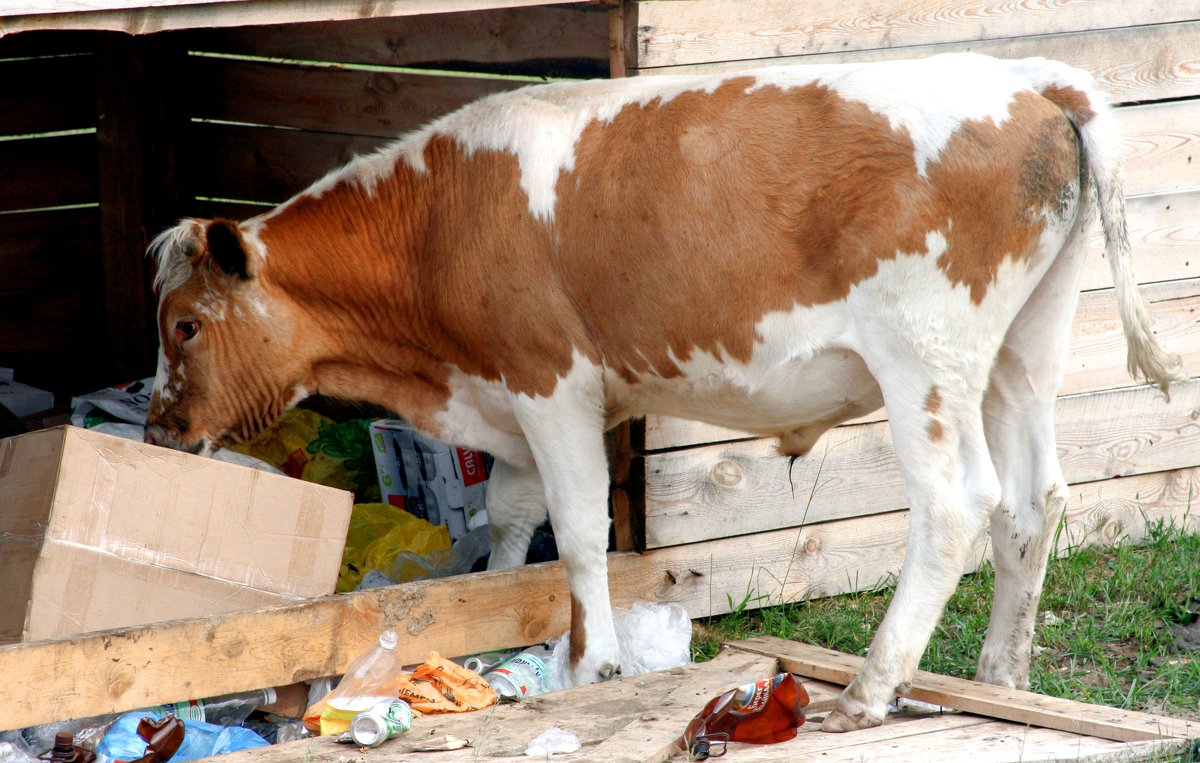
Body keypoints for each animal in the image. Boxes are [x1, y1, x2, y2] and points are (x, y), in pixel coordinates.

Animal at [142, 53, 1180, 734]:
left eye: (184, 325)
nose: (158, 429)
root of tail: (1031, 80)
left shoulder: (551, 380)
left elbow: (579, 528)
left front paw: (589, 660)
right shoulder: (508, 394)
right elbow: (511, 515)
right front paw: (500, 628)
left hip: (923, 356)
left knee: (958, 504)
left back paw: (870, 688)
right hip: (1020, 350)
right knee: (1035, 501)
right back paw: (1002, 677)